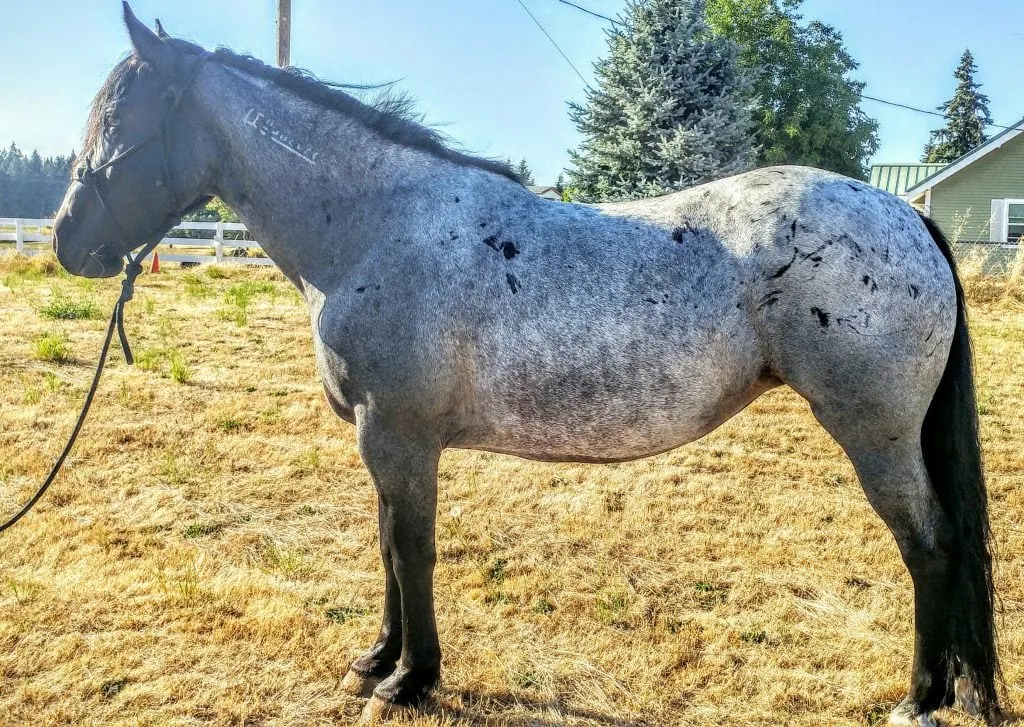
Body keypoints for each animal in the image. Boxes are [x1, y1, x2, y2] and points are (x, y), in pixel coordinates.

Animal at [48, 4, 999, 724]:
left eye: (120, 125)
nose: (66, 241)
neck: (376, 227)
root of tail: (906, 217)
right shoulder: (382, 443)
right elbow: (386, 544)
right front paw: (376, 659)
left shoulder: (398, 437)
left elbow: (410, 549)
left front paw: (410, 679)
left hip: (876, 438)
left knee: (928, 544)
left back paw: (918, 698)